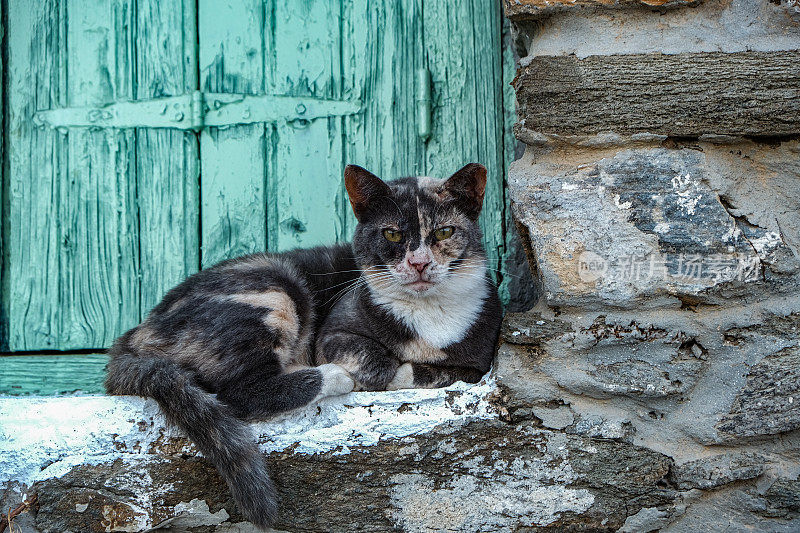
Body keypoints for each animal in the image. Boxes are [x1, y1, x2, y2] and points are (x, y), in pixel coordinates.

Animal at [101, 162, 500, 528]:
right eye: (392, 234)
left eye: (444, 231)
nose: (418, 262)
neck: (428, 313)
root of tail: (133, 335)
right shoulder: (334, 332)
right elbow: (377, 362)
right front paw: (376, 373)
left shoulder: (481, 358)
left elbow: (447, 372)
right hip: (277, 287)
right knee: (238, 393)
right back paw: (332, 376)